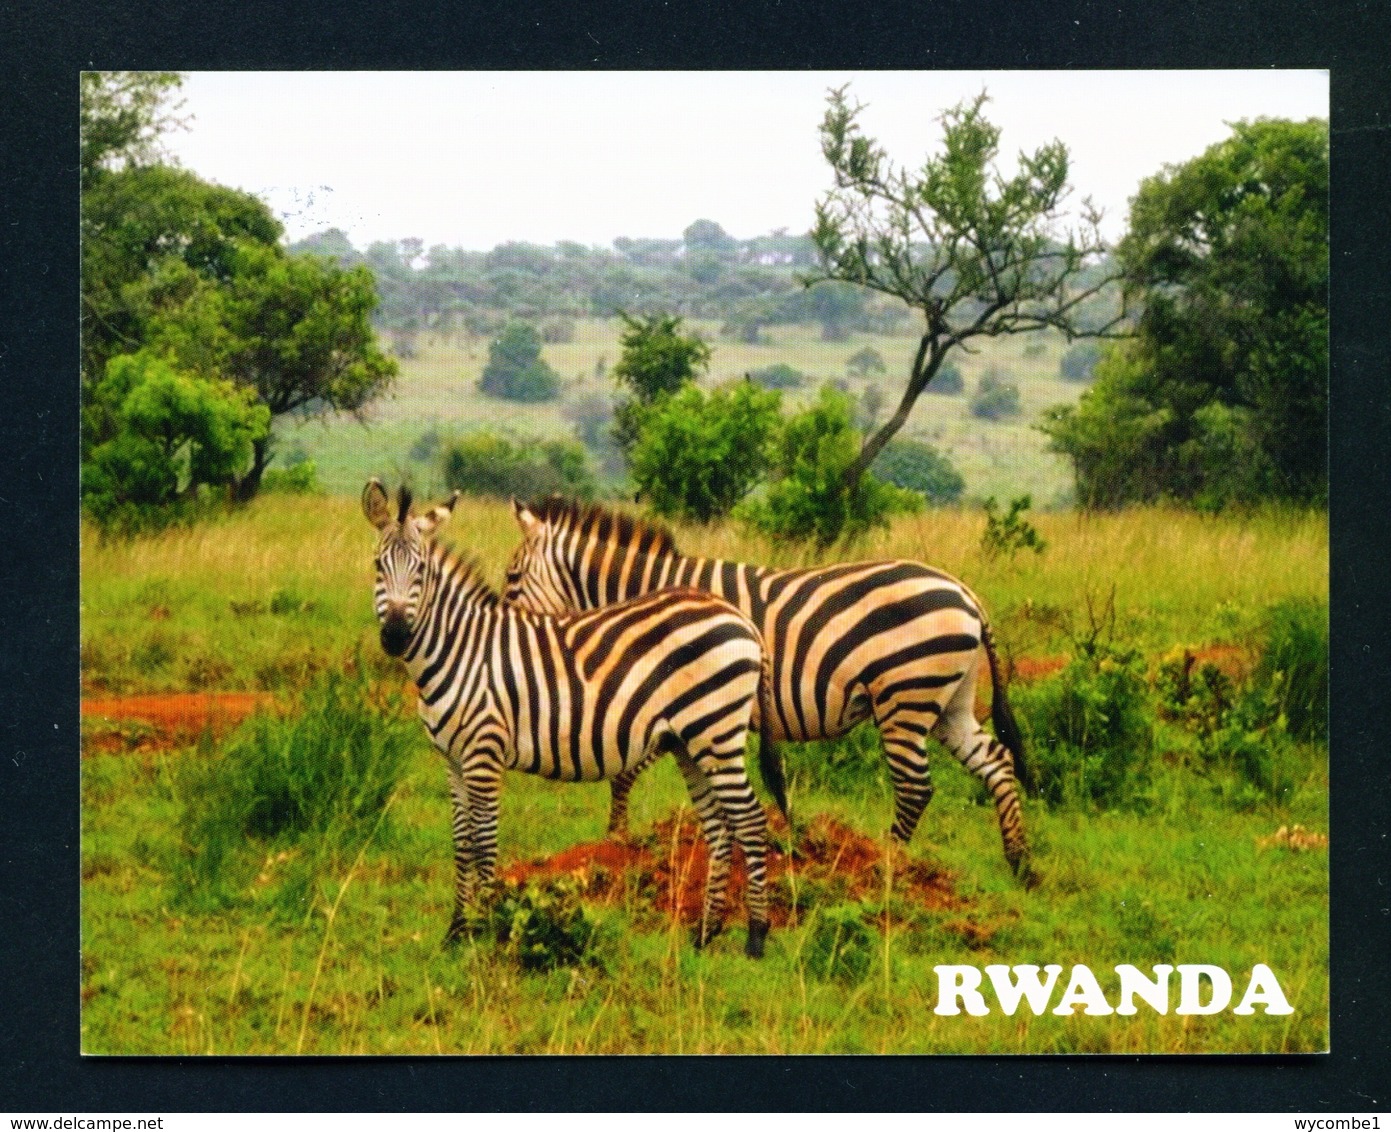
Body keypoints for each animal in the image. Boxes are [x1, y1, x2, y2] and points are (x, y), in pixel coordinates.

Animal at [364, 478, 790, 956]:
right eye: (378, 566)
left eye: (421, 570)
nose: (395, 636)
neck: (460, 650)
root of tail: (743, 621)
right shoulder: (451, 759)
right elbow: (461, 842)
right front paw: (456, 930)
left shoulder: (484, 753)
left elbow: (484, 841)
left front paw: (487, 929)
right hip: (690, 742)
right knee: (719, 827)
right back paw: (705, 933)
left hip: (716, 733)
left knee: (751, 821)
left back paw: (755, 937)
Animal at [503, 495, 1034, 884]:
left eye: (511, 577)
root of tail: (966, 593)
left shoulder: (674, 701)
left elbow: (626, 771)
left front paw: (615, 838)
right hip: (947, 702)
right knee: (996, 761)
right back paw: (1019, 862)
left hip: (905, 696)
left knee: (915, 787)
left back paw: (887, 863)